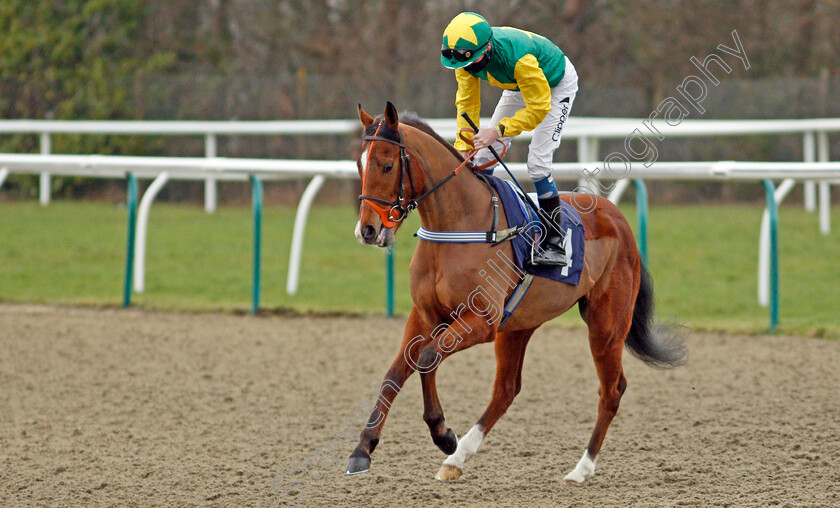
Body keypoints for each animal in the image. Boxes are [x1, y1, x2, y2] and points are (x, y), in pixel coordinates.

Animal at [346, 102, 684, 484]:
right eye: (360, 164)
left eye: (387, 165)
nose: (367, 230)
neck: (458, 224)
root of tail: (618, 218)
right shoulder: (425, 315)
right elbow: (396, 373)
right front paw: (363, 449)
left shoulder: (482, 321)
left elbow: (427, 357)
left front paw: (442, 433)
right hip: (519, 326)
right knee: (506, 390)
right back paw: (457, 459)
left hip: (606, 323)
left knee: (612, 390)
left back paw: (581, 469)